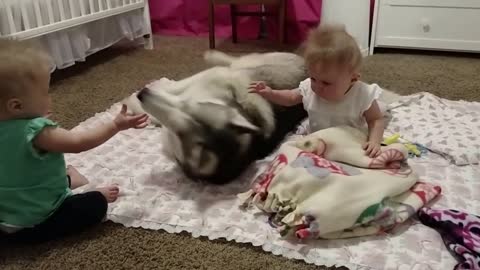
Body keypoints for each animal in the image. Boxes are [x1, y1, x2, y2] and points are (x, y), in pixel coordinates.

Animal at [124, 49, 310, 185]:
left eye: (177, 130)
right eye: (190, 107)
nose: (142, 94)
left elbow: (163, 96)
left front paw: (133, 103)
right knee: (237, 60)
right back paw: (215, 56)